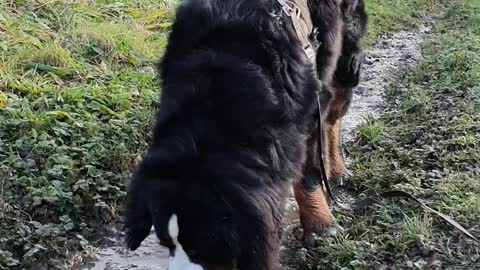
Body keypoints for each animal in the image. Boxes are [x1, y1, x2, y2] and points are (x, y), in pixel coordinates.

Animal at [125, 0, 366, 270]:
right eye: (166, 243)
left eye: (201, 249)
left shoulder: (307, 109)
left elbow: (309, 174)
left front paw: (320, 226)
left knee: (336, 108)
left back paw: (336, 167)